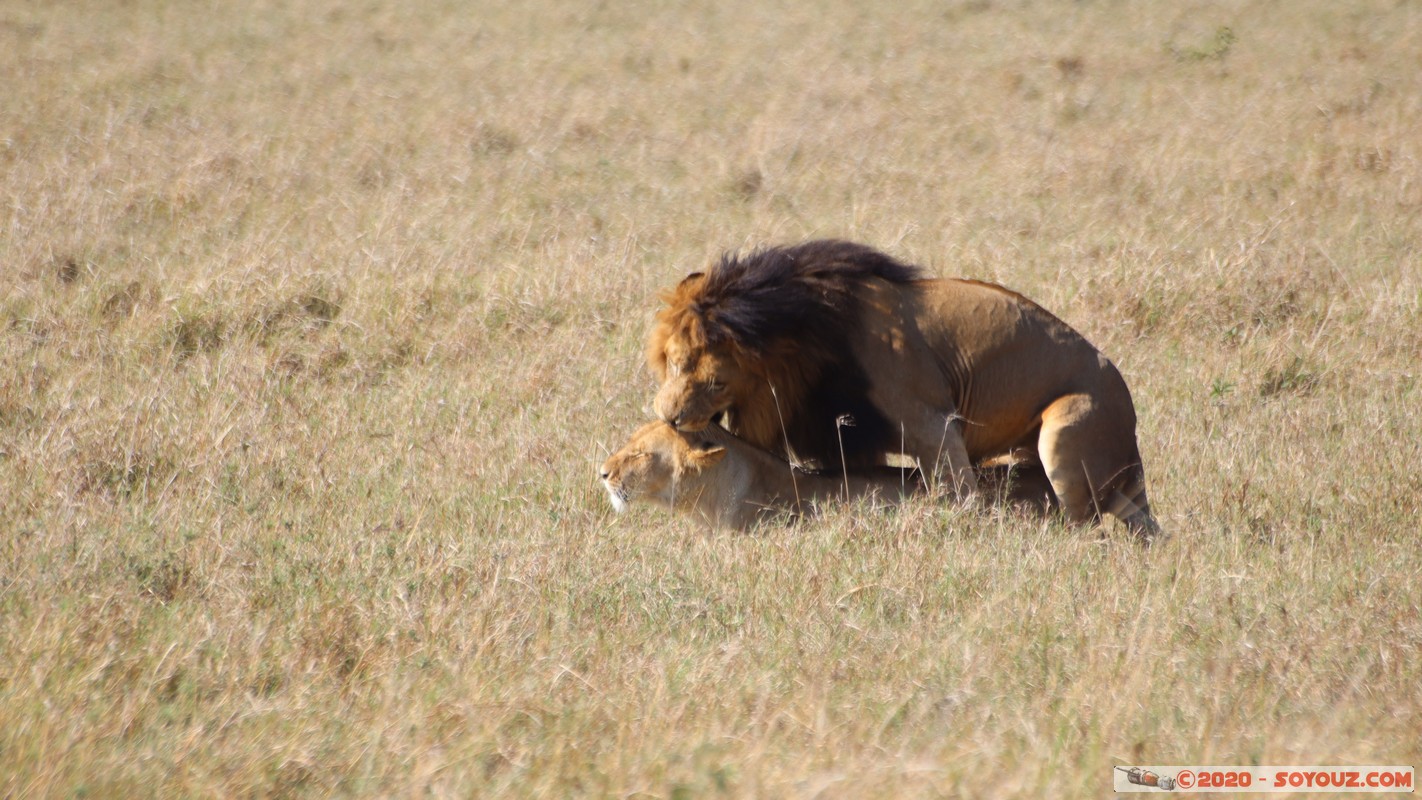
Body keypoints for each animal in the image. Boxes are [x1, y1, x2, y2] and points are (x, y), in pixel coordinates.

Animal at [645, 237, 1154, 537]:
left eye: (715, 381)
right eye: (672, 361)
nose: (669, 418)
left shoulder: (933, 424)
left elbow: (960, 494)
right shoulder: (849, 441)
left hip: (1067, 430)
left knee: (1086, 526)